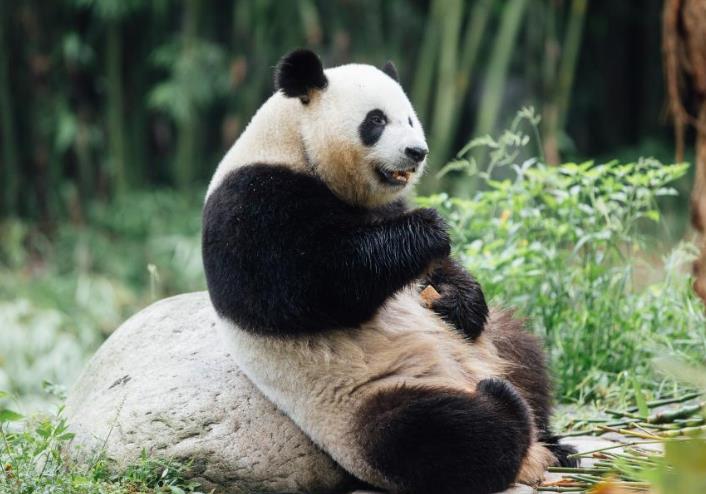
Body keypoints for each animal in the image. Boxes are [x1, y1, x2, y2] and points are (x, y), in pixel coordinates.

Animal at [199, 47, 572, 494]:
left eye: (410, 118)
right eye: (375, 121)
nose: (417, 151)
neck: (295, 143)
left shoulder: (385, 202)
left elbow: (437, 275)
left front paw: (458, 300)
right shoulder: (251, 203)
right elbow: (309, 285)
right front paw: (429, 229)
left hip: (491, 346)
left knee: (523, 350)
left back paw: (554, 440)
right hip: (362, 404)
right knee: (435, 434)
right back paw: (504, 406)